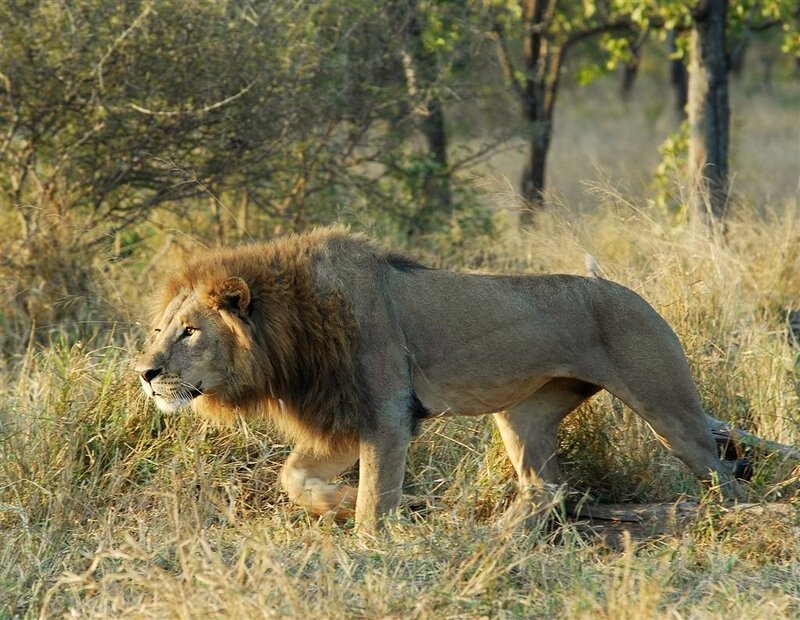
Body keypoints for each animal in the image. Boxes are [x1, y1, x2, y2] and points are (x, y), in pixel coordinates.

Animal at [135, 226, 742, 530]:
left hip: (669, 408)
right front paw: (349, 503)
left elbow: (374, 501)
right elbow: (294, 477)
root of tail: (626, 290)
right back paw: (493, 539)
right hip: (523, 414)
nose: (145, 373)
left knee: (723, 477)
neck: (291, 328)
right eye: (160, 328)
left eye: (190, 332)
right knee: (546, 487)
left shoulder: (388, 413)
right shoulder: (348, 418)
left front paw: (371, 545)